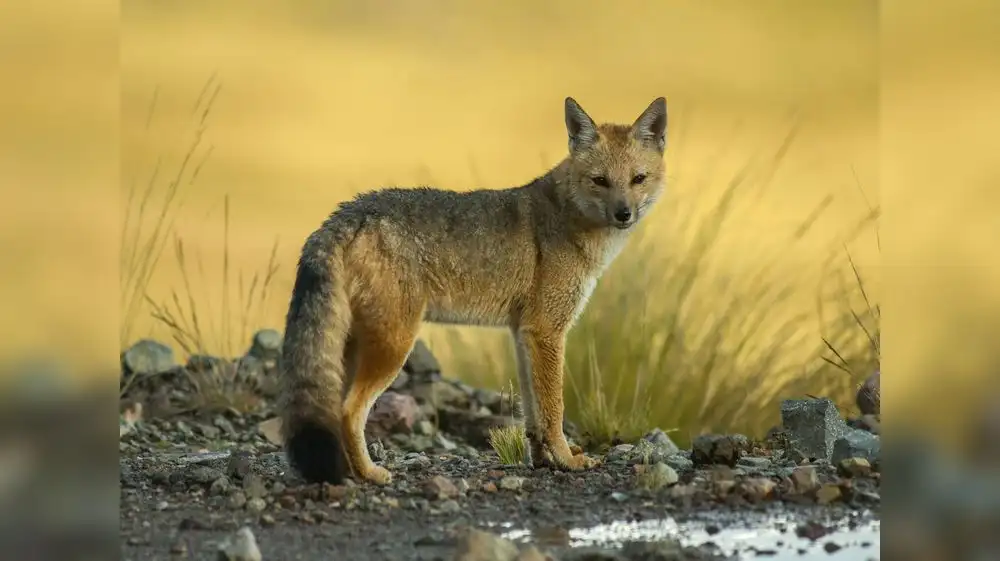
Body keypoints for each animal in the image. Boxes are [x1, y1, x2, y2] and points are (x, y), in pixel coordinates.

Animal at [278, 96, 668, 485]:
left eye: (638, 179)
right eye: (600, 181)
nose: (624, 214)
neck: (568, 217)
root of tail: (346, 212)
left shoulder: (523, 333)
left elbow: (533, 412)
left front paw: (543, 460)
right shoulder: (547, 331)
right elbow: (553, 407)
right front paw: (567, 460)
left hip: (354, 345)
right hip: (393, 346)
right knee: (349, 411)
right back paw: (369, 473)